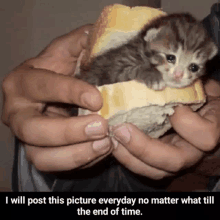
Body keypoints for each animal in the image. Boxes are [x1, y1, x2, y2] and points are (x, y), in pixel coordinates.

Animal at [76, 13, 218, 89]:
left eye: (194, 67)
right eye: (170, 58)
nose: (178, 75)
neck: (142, 52)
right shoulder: (114, 67)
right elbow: (130, 69)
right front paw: (153, 76)